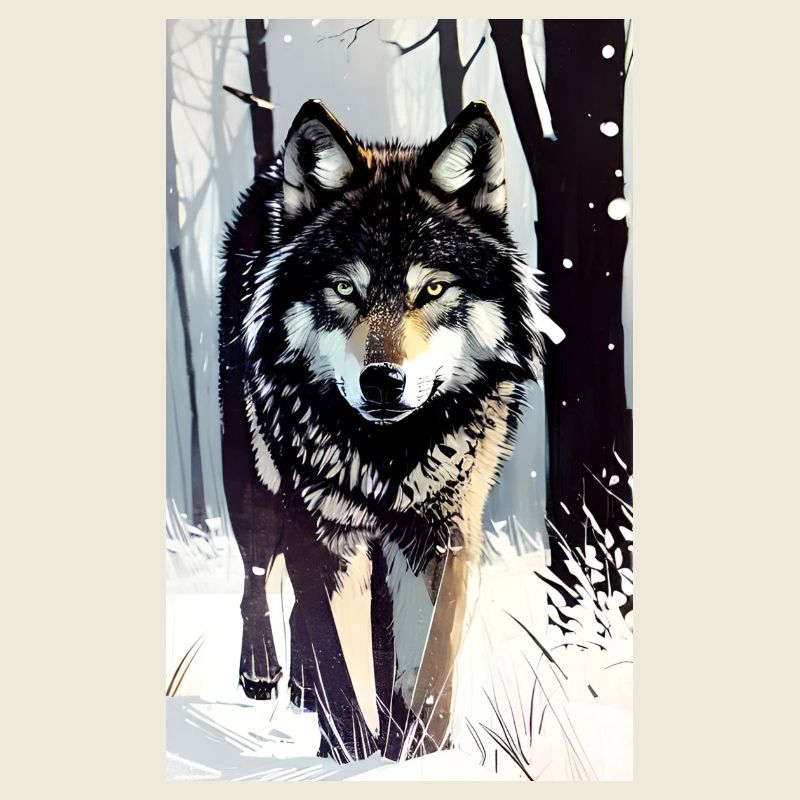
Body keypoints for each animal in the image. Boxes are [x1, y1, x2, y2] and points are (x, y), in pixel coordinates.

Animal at [218, 97, 548, 761]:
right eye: (346, 287)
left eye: (434, 288)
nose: (382, 382)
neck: (387, 455)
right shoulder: (323, 532)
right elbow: (341, 662)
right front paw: (351, 756)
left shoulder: (443, 533)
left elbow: (427, 663)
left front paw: (419, 756)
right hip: (255, 483)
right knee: (256, 577)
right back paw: (266, 674)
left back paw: (303, 691)